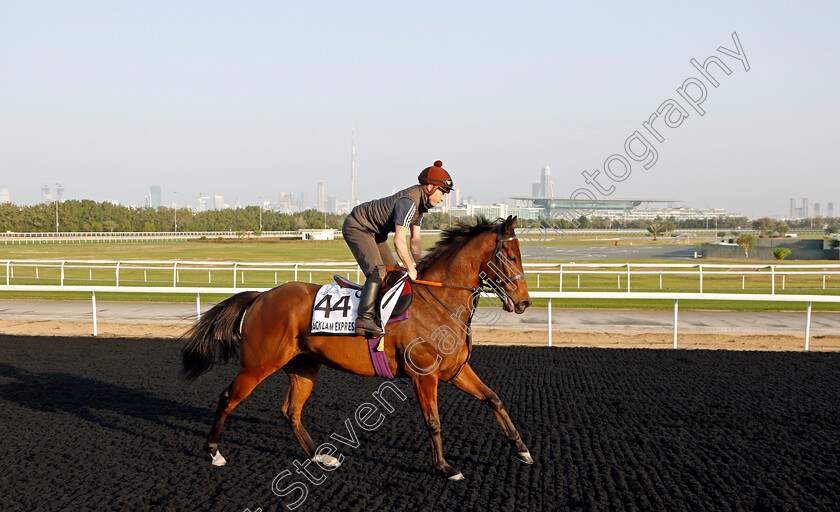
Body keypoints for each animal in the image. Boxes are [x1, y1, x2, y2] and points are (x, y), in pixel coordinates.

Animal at [182, 214, 532, 478]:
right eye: (511, 257)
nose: (524, 302)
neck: (438, 302)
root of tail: (261, 296)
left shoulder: (455, 370)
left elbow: (494, 399)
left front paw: (523, 450)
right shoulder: (424, 376)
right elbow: (433, 421)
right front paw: (446, 468)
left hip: (303, 367)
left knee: (291, 411)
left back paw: (320, 457)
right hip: (257, 364)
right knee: (228, 398)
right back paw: (214, 453)